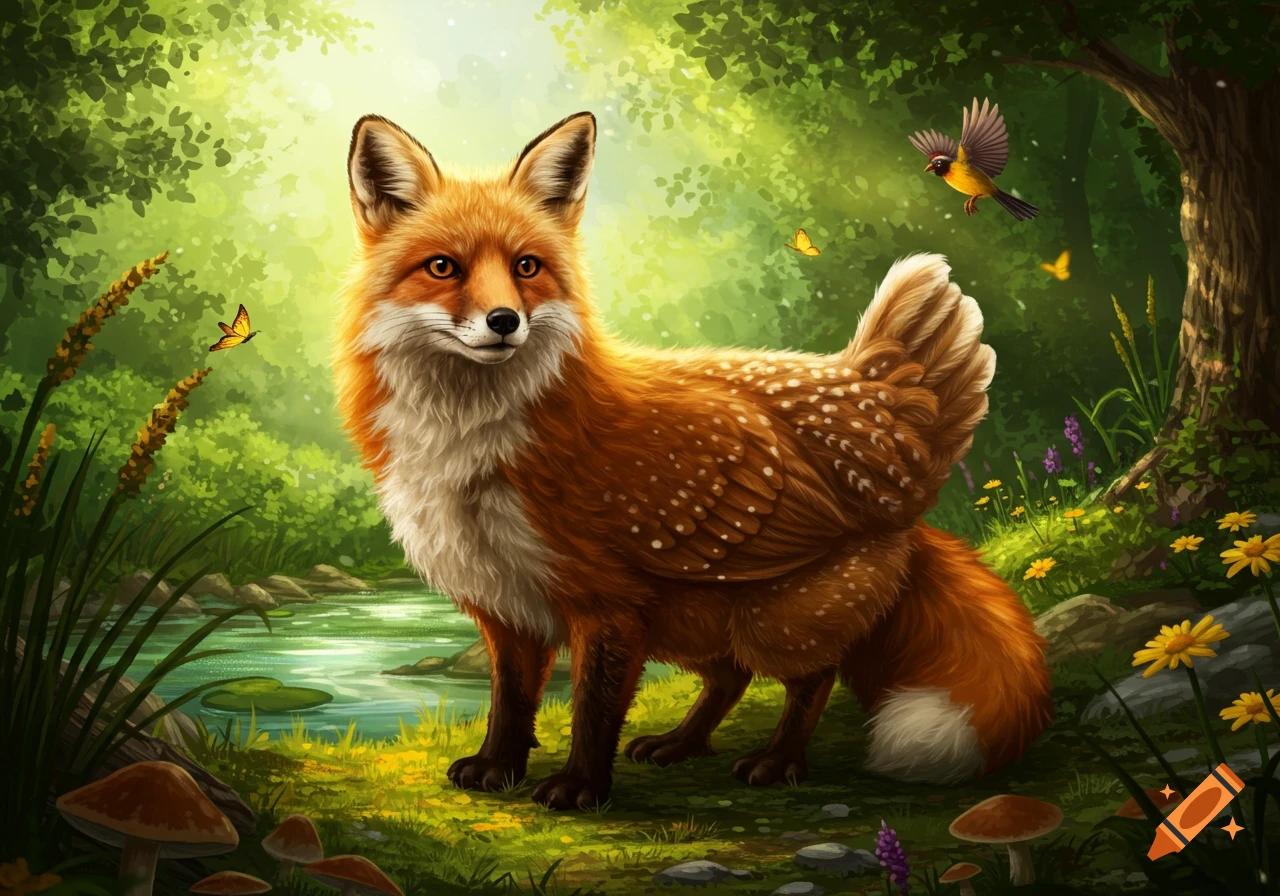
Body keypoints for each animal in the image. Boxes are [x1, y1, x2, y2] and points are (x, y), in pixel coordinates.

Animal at [334, 111, 1053, 810]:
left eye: (527, 267)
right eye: (443, 268)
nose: (505, 320)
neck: (473, 446)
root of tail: (870, 391)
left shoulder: (609, 605)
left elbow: (593, 709)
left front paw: (580, 788)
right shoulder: (506, 604)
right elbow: (510, 703)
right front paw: (497, 767)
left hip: (772, 616)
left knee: (812, 676)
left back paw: (779, 761)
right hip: (698, 620)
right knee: (732, 676)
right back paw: (680, 744)